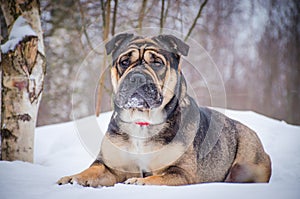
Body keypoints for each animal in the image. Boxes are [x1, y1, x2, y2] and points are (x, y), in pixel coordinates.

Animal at [56, 33, 272, 187]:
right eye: (124, 61)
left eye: (157, 62)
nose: (137, 77)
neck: (142, 122)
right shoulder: (111, 166)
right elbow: (93, 170)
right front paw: (72, 177)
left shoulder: (180, 171)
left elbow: (157, 177)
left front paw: (139, 181)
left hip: (251, 161)